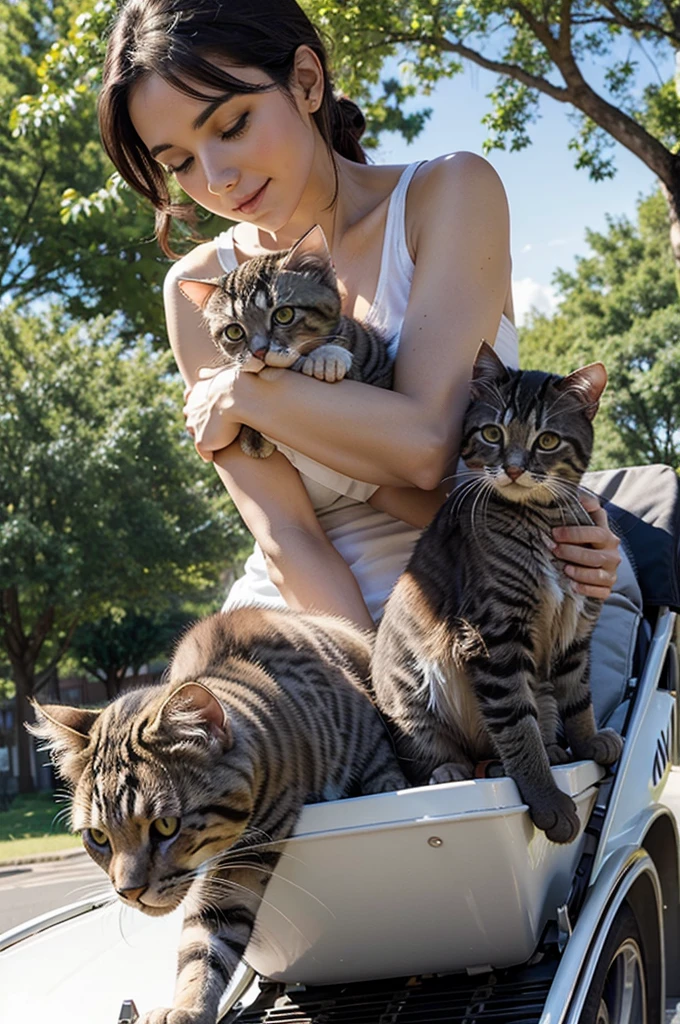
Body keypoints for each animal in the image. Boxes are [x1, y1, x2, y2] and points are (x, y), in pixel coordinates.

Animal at [31, 606, 403, 1024]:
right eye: (97, 837)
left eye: (165, 826)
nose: (128, 892)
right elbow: (204, 942)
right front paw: (187, 1007)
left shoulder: (258, 841)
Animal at [372, 339, 622, 843]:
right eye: (491, 433)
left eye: (547, 441)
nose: (513, 468)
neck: (541, 519)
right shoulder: (495, 636)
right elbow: (516, 727)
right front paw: (548, 799)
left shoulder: (574, 631)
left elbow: (578, 699)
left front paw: (586, 742)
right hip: (410, 692)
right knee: (438, 755)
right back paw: (451, 771)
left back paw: (552, 750)